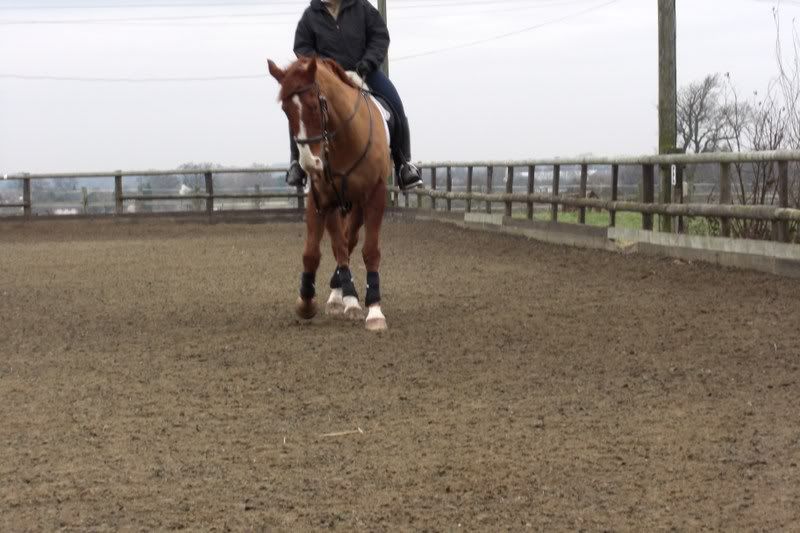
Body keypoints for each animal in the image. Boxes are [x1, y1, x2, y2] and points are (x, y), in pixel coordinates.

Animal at [267, 56, 391, 332]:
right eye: (286, 111)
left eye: (315, 105)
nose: (310, 163)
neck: (345, 140)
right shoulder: (320, 199)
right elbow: (314, 253)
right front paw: (306, 301)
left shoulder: (375, 196)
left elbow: (370, 250)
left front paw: (374, 310)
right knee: (341, 244)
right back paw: (342, 297)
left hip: (358, 205)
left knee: (351, 240)